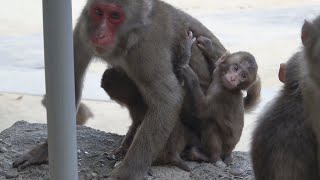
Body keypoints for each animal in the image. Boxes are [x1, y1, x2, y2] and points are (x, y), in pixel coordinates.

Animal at [178, 31, 260, 164]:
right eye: (235, 68)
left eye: (243, 76)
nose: (233, 78)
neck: (223, 85)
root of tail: (228, 153)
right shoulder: (217, 73)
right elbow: (217, 64)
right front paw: (208, 47)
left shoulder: (222, 97)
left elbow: (201, 110)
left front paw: (189, 72)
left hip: (222, 149)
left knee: (210, 124)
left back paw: (208, 157)